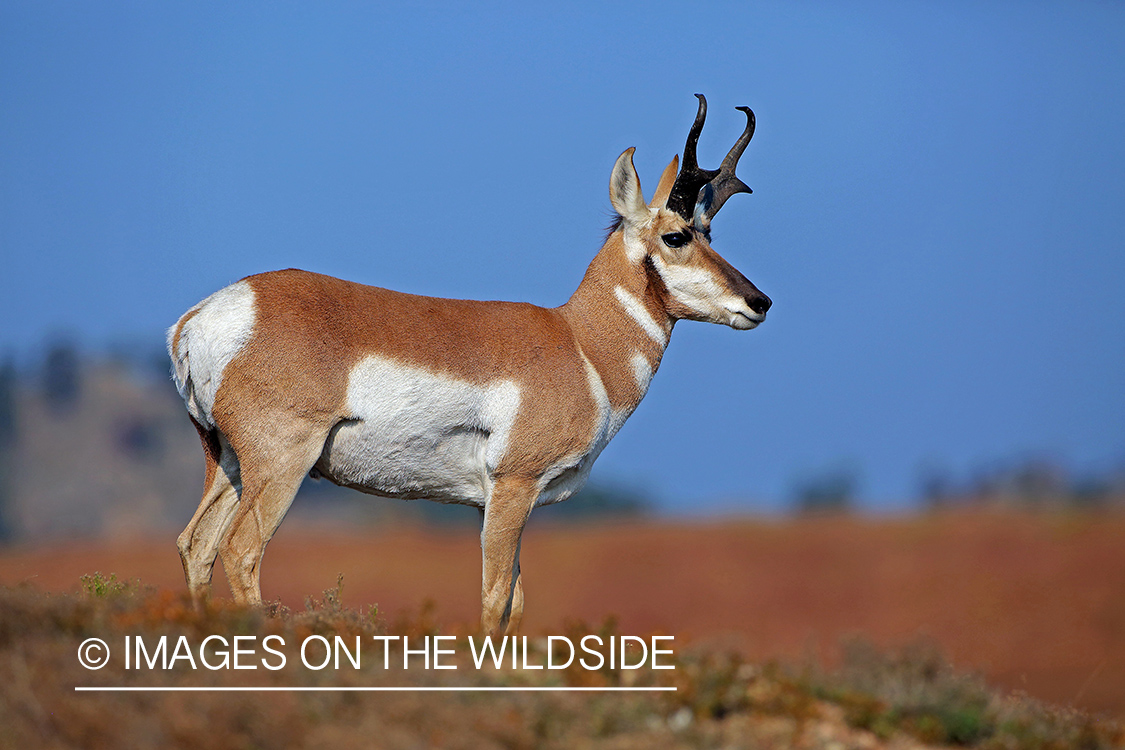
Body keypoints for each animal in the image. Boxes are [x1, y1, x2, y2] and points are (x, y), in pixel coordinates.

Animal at [168, 93, 774, 634]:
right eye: (675, 235)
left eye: (710, 233)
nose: (759, 302)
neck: (579, 342)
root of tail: (205, 316)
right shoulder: (512, 487)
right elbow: (494, 598)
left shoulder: (495, 505)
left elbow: (516, 604)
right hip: (281, 464)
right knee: (240, 551)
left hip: (227, 465)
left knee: (196, 546)